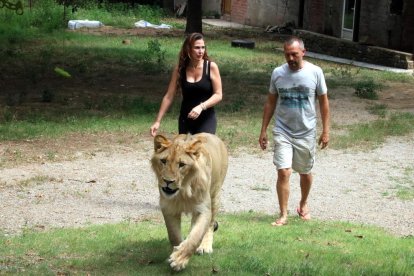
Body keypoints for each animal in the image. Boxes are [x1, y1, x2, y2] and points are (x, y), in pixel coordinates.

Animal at [150, 133, 228, 270]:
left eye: (181, 164)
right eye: (163, 161)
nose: (168, 181)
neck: (183, 192)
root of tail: (213, 136)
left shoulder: (203, 209)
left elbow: (195, 237)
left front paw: (179, 260)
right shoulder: (169, 208)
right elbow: (174, 235)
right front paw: (176, 250)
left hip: (215, 196)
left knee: (210, 225)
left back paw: (205, 246)